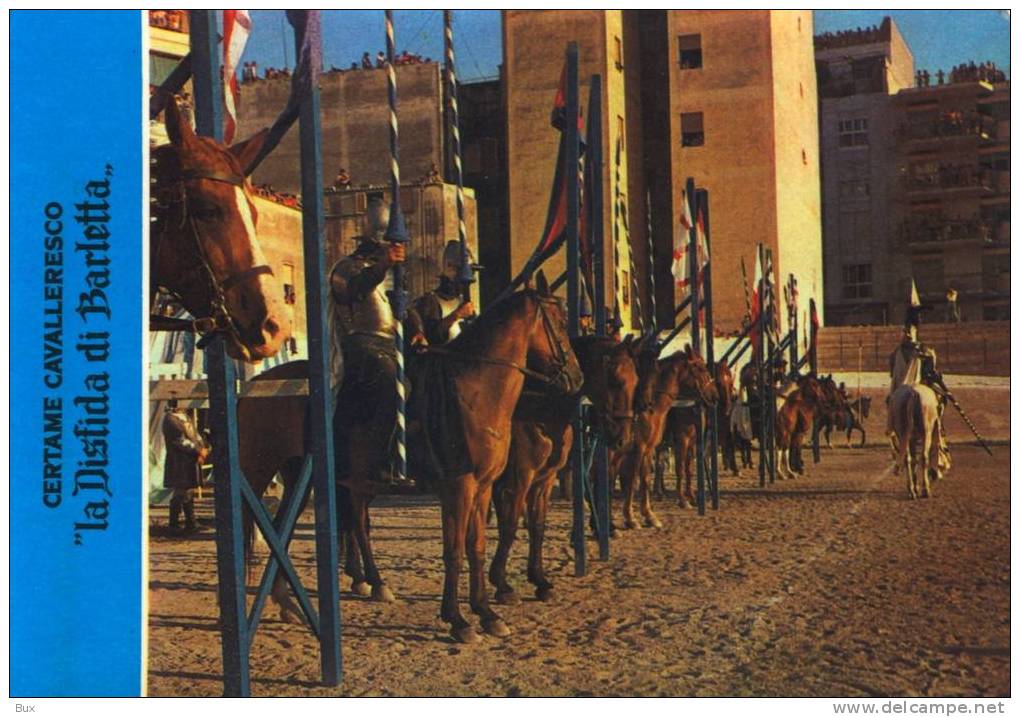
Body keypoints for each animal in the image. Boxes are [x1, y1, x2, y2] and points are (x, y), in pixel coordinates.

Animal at [487, 334, 636, 603]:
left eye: (636, 381)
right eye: (617, 381)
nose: (623, 439)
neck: (534, 409)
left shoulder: (542, 481)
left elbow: (538, 526)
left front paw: (539, 581)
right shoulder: (517, 481)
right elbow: (510, 526)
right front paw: (502, 585)